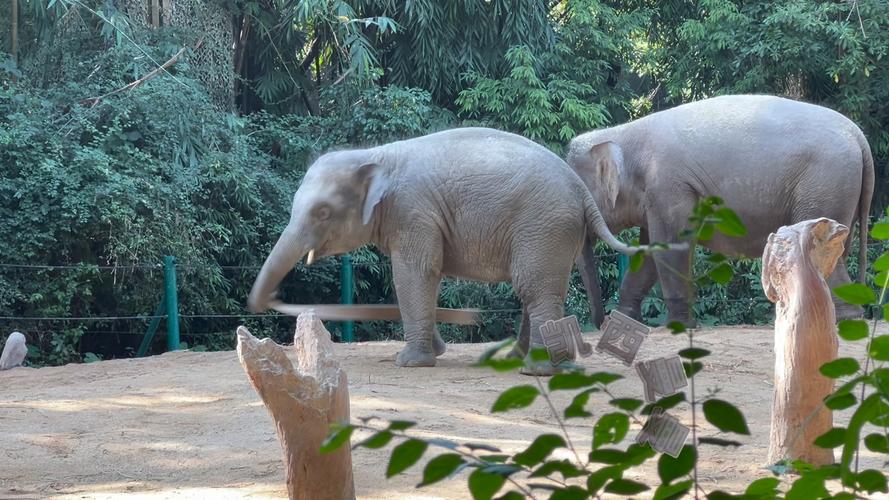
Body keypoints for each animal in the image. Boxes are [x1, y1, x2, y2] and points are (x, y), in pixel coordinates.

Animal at [248, 127, 652, 374]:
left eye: (322, 212)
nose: (273, 300)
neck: (375, 155)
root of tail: (581, 190)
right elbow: (420, 275)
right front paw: (434, 353)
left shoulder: (412, 210)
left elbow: (414, 273)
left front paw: (409, 363)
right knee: (535, 289)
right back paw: (517, 359)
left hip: (544, 223)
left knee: (534, 288)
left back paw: (536, 369)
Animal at [564, 94, 872, 328]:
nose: (600, 322)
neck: (623, 134)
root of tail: (858, 135)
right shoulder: (658, 196)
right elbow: (650, 252)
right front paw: (626, 320)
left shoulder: (669, 186)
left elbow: (669, 247)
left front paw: (678, 326)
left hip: (824, 185)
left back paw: (844, 320)